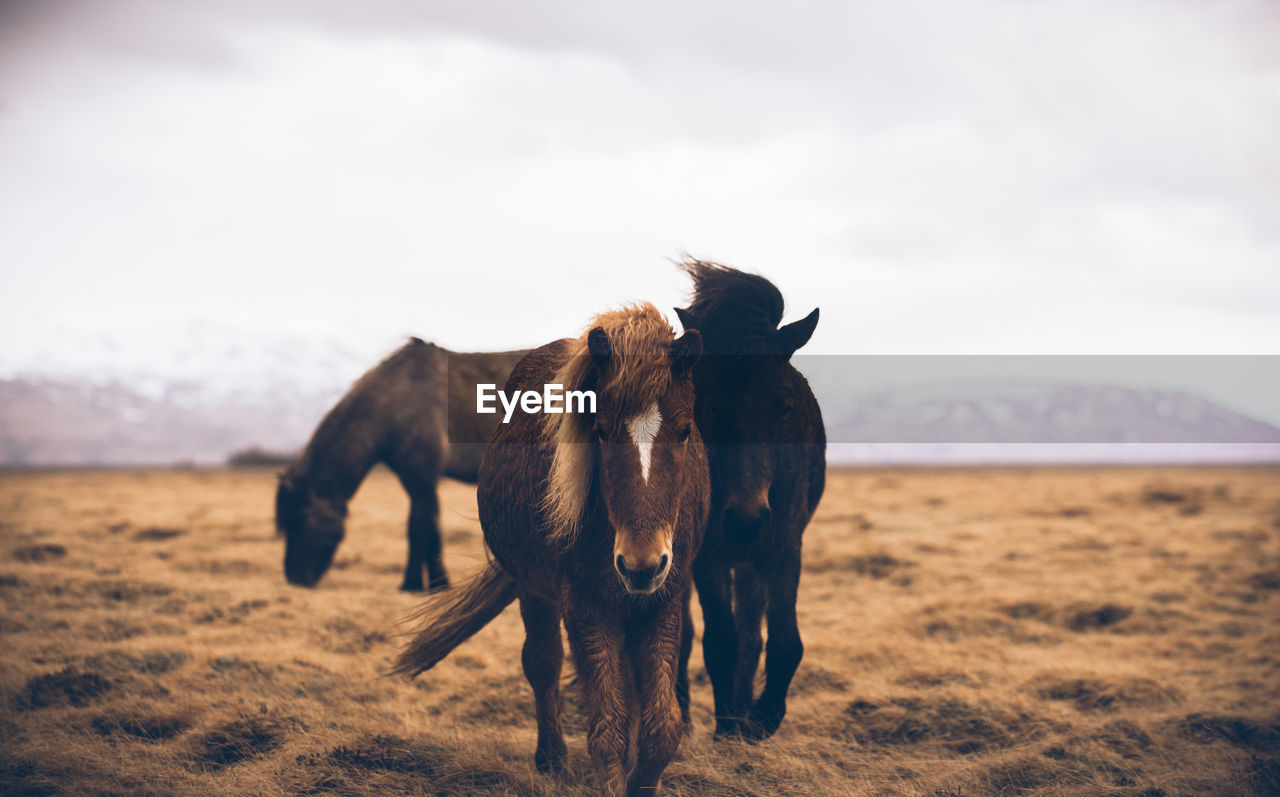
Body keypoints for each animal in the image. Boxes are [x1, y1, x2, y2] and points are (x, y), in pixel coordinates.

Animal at [275, 337, 524, 593]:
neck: (398, 401)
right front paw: (433, 582)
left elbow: (420, 528)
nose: (294, 578)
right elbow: (427, 527)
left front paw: (417, 584)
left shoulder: (423, 479)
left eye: (299, 520)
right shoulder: (414, 480)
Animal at [391, 301, 711, 793]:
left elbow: (661, 727)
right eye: (599, 430)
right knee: (543, 664)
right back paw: (551, 758)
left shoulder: (663, 601)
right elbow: (607, 730)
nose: (641, 565)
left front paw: (643, 777)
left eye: (684, 430)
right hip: (533, 590)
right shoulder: (584, 606)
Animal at [670, 262, 829, 741]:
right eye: (710, 406)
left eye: (784, 406)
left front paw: (760, 718)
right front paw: (726, 725)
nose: (746, 520)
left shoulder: (784, 543)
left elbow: (780, 641)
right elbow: (719, 641)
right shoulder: (708, 554)